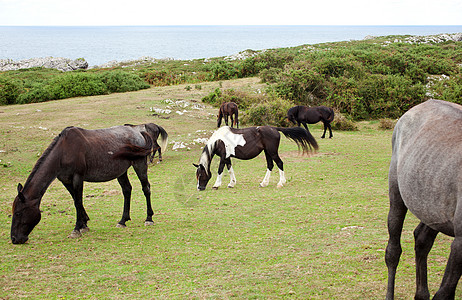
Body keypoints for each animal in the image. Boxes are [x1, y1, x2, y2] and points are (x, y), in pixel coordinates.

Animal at [10, 123, 168, 245]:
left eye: (18, 213)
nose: (14, 239)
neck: (63, 152)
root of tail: (138, 132)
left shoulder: (77, 178)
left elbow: (78, 202)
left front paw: (77, 228)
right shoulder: (66, 180)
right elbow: (76, 200)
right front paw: (84, 224)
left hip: (139, 164)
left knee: (146, 188)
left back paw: (149, 218)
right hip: (121, 171)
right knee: (127, 190)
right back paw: (123, 220)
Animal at [384, 99, 462, 300]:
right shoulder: (460, 243)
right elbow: (443, 294)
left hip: (432, 211)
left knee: (422, 240)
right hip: (397, 197)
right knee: (393, 252)